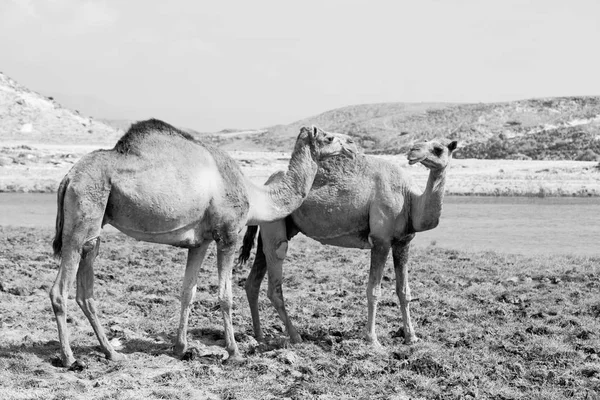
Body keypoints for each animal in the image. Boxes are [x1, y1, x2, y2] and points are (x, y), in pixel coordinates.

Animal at [50, 117, 356, 368]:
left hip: (95, 227)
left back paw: (112, 353)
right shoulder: (228, 235)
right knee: (59, 290)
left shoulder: (201, 242)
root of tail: (67, 178)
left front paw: (181, 347)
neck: (254, 194)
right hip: (82, 217)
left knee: (85, 290)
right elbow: (225, 296)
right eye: (329, 137)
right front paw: (234, 352)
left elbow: (188, 291)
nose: (353, 144)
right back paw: (70, 358)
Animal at [237, 138, 458, 346]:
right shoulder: (381, 240)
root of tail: (265, 185)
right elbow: (373, 290)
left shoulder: (403, 242)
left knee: (253, 280)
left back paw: (259, 336)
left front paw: (412, 338)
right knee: (275, 275)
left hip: (273, 227)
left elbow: (404, 292)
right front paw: (372, 339)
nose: (413, 151)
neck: (409, 199)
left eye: (439, 148)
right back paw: (295, 336)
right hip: (276, 227)